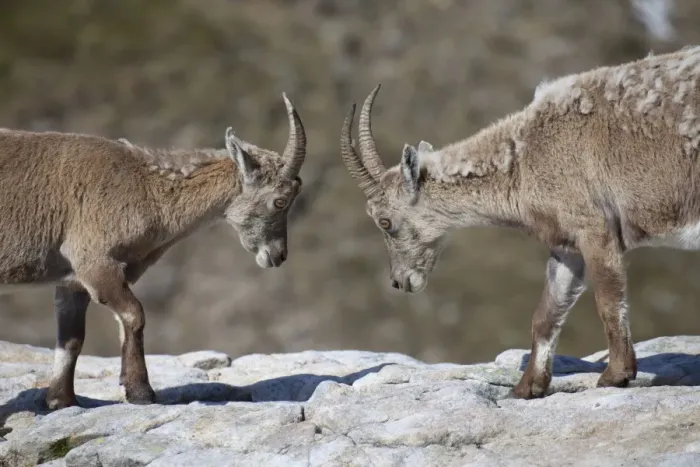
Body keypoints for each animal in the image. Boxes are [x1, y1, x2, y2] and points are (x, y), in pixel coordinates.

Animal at [0, 93, 306, 409]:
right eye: (280, 201)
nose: (278, 255)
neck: (147, 189)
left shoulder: (73, 281)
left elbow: (71, 339)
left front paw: (62, 401)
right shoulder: (96, 263)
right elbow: (134, 315)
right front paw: (141, 391)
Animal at [340, 45, 700, 399]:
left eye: (384, 221)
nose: (399, 281)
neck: (525, 156)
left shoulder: (594, 227)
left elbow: (609, 299)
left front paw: (616, 375)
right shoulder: (567, 246)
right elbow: (546, 314)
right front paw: (527, 387)